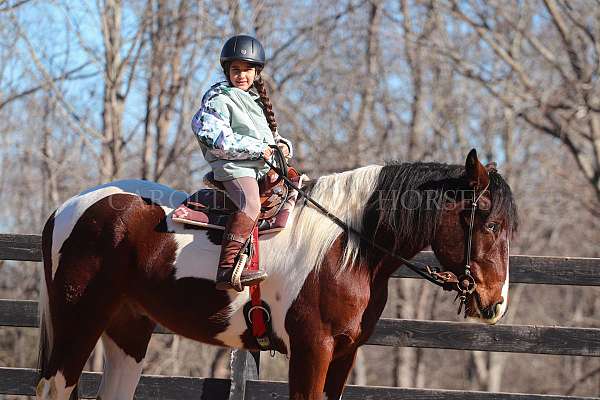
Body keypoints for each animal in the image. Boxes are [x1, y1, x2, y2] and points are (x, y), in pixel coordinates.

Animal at [36, 150, 516, 400]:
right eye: (490, 225)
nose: (495, 303)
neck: (347, 250)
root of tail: (68, 208)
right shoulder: (311, 350)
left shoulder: (344, 354)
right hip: (78, 323)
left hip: (128, 330)